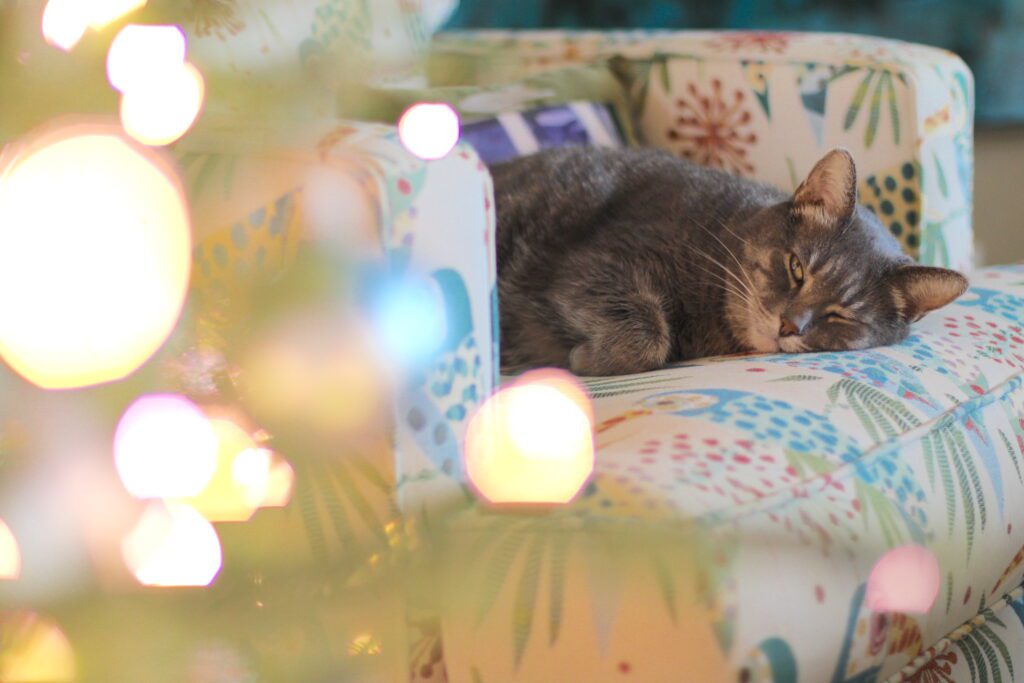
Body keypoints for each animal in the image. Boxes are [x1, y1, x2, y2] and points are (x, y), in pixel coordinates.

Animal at [491, 146, 970, 376]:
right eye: (797, 268)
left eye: (841, 315)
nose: (788, 326)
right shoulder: (594, 265)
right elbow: (649, 333)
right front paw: (583, 359)